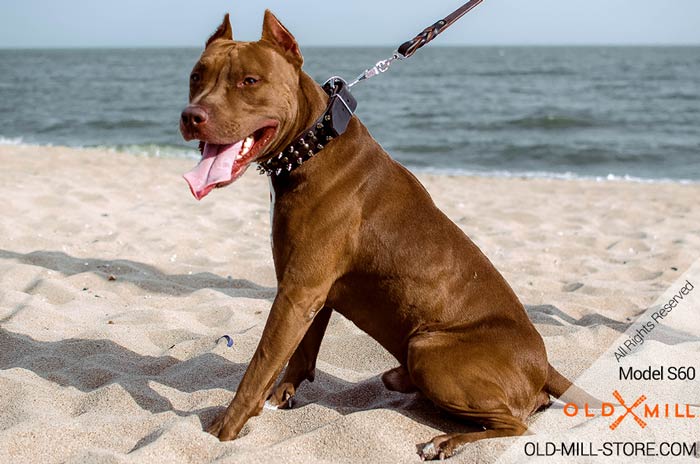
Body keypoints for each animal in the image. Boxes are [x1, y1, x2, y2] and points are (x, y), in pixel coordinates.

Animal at [180, 10, 584, 460]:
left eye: (249, 81)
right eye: (197, 76)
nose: (191, 116)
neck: (312, 145)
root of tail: (544, 364)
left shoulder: (297, 292)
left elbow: (259, 366)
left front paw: (223, 430)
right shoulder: (310, 292)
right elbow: (299, 354)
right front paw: (280, 396)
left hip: (428, 349)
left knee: (515, 425)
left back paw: (446, 441)